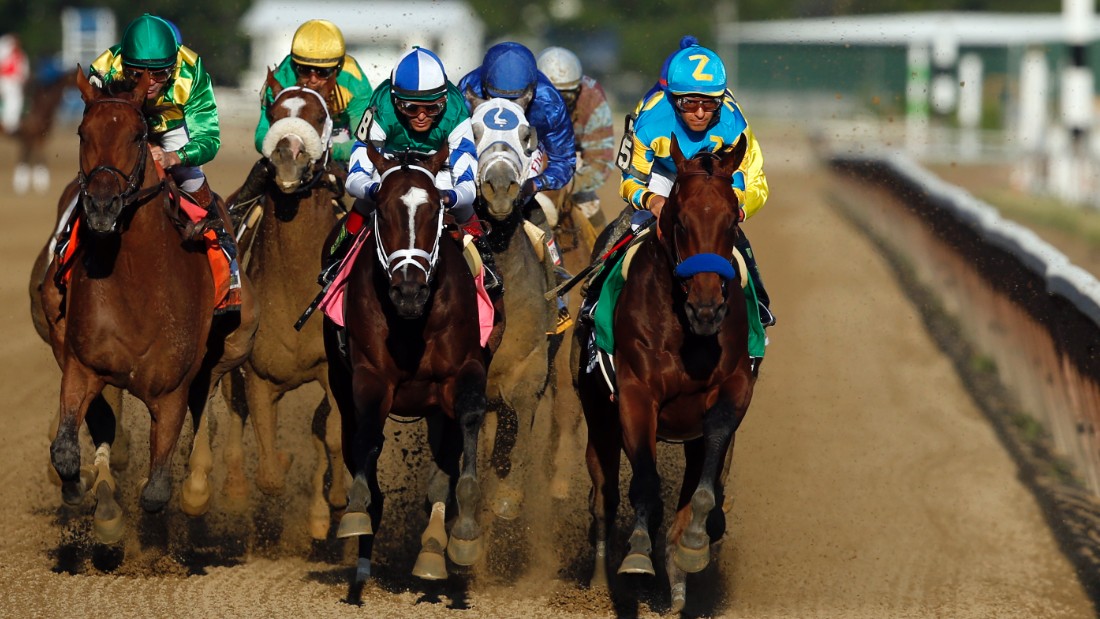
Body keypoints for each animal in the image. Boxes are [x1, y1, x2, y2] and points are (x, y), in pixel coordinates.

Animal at [35, 66, 258, 543]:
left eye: (138, 136)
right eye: (82, 132)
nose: (101, 206)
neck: (139, 286)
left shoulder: (171, 392)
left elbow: (156, 491)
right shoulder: (83, 366)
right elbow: (65, 451)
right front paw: (91, 496)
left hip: (233, 347)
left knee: (206, 402)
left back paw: (199, 487)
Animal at [218, 70, 343, 540]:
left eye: (318, 115)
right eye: (273, 114)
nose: (288, 155)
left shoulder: (333, 370)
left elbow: (333, 434)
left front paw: (335, 502)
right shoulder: (257, 374)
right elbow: (270, 475)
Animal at [321, 141, 486, 584]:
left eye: (435, 211)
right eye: (383, 209)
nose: (408, 292)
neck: (413, 324)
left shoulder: (462, 371)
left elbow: (468, 424)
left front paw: (465, 532)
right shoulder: (369, 376)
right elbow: (366, 436)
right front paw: (357, 509)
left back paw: (431, 553)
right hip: (339, 380)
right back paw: (363, 561)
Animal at [576, 135, 756, 615]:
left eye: (732, 219)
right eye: (680, 222)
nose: (707, 309)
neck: (687, 335)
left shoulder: (732, 388)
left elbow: (704, 487)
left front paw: (692, 545)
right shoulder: (636, 393)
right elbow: (644, 482)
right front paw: (638, 555)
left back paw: (678, 582)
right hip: (597, 415)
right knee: (604, 496)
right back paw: (600, 580)